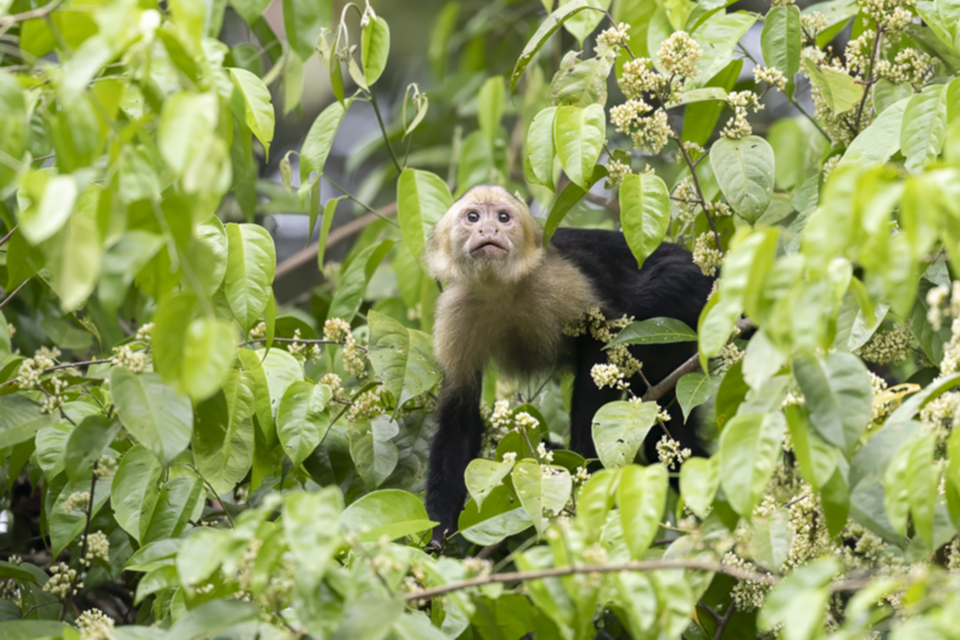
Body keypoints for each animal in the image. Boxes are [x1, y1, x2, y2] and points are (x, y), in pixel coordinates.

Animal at [426, 182, 712, 548]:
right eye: (473, 217)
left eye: (503, 218)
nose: (488, 230)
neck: (500, 288)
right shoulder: (454, 310)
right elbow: (459, 413)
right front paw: (438, 532)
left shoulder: (558, 278)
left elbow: (600, 339)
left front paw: (584, 459)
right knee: (669, 437)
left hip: (693, 287)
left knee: (646, 298)